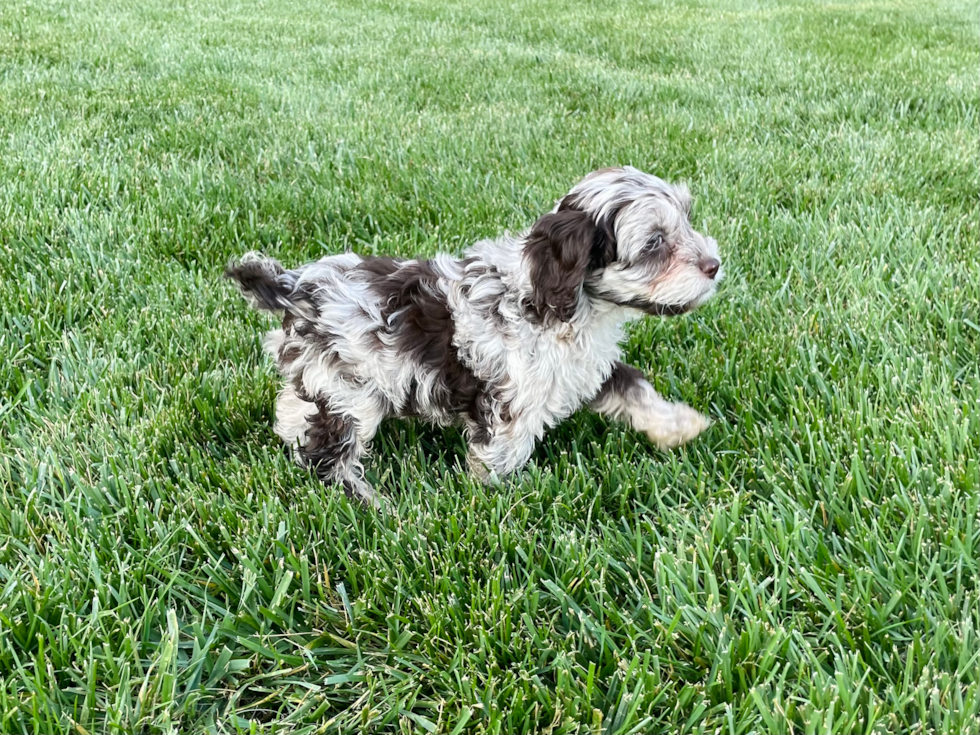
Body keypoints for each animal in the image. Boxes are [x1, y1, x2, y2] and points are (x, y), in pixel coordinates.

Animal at [228, 167, 720, 506]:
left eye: (687, 220)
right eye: (654, 243)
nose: (715, 266)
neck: (555, 301)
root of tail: (295, 289)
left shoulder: (583, 368)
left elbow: (632, 387)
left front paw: (678, 425)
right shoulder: (511, 403)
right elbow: (502, 456)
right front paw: (503, 501)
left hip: (322, 378)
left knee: (297, 411)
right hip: (353, 391)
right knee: (327, 454)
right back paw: (372, 504)